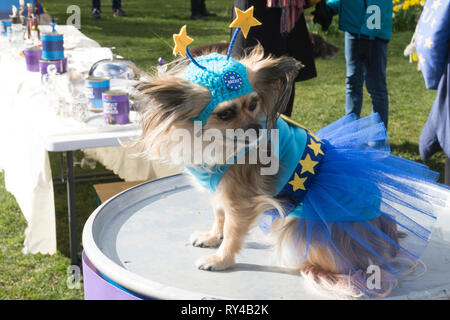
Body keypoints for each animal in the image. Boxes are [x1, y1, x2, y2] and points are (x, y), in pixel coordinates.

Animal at [133, 44, 404, 298]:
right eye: (226, 114)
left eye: (254, 104)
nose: (257, 129)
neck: (216, 143)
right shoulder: (221, 192)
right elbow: (219, 217)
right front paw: (212, 238)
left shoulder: (240, 201)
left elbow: (232, 232)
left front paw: (221, 260)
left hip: (301, 227)